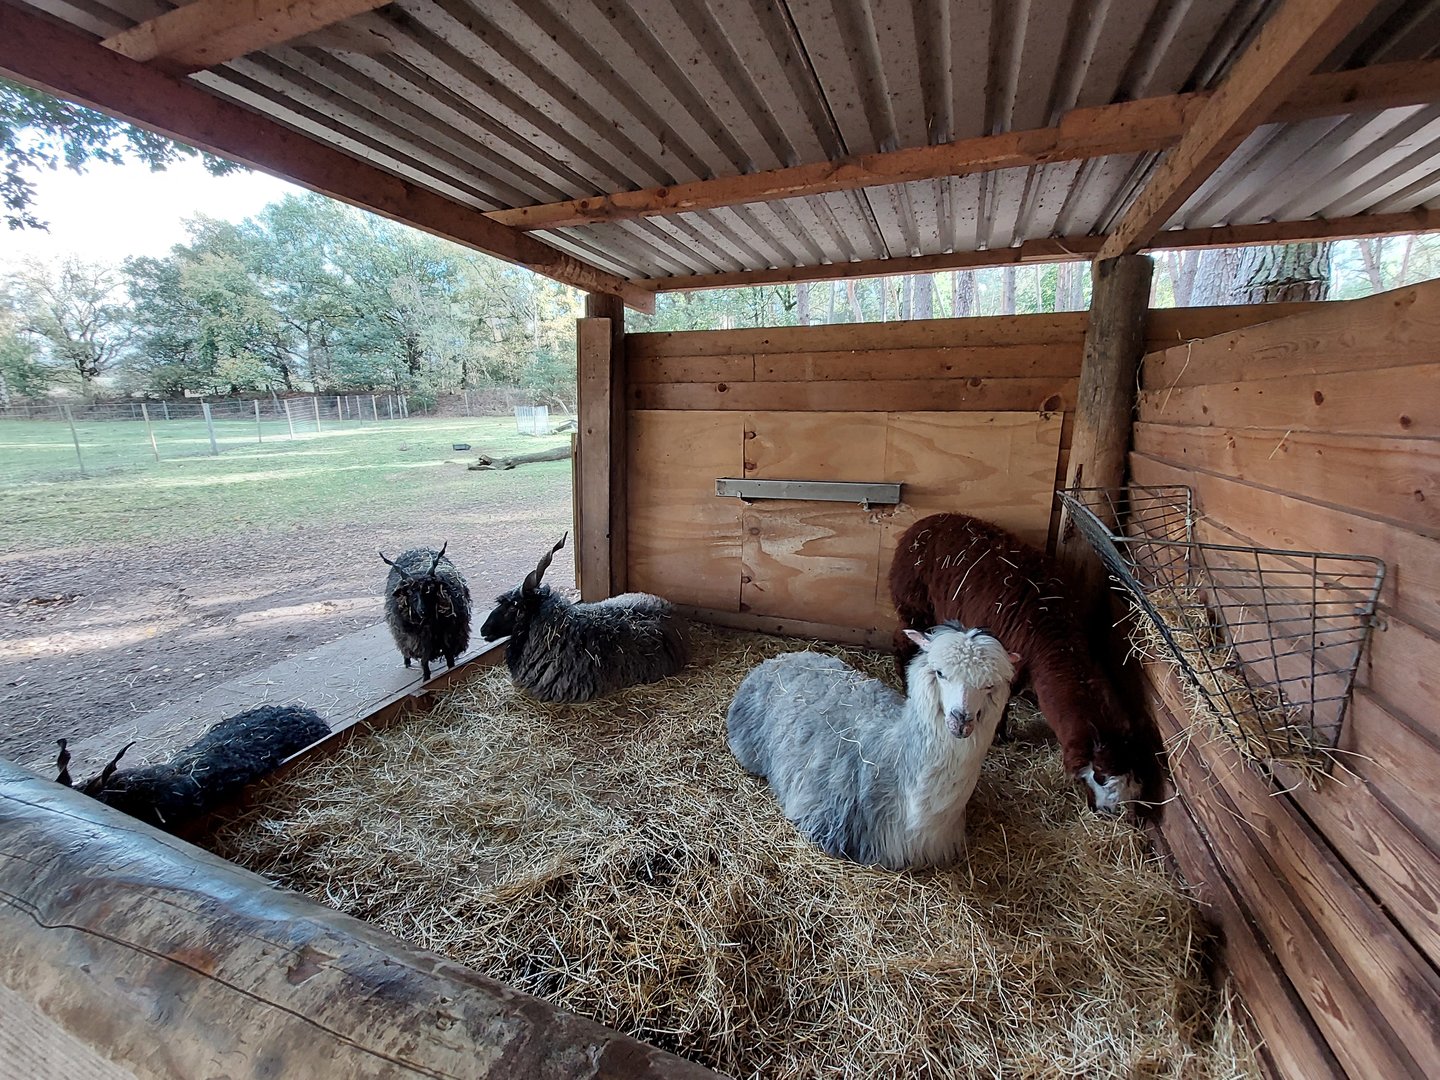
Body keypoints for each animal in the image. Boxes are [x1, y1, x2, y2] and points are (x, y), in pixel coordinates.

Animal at [380, 542, 472, 681]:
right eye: (410, 593)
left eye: (430, 589)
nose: (422, 610)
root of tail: (415, 549)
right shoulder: (420, 643)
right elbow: (424, 663)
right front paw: (426, 679)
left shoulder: (447, 637)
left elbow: (449, 658)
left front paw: (451, 671)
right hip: (404, 635)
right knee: (405, 648)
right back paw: (407, 662)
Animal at [889, 512, 1145, 814]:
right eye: (1101, 776)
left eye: (1133, 775)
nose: (1112, 811)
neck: (1051, 632)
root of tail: (926, 521)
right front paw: (1000, 736)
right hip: (916, 602)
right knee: (903, 640)